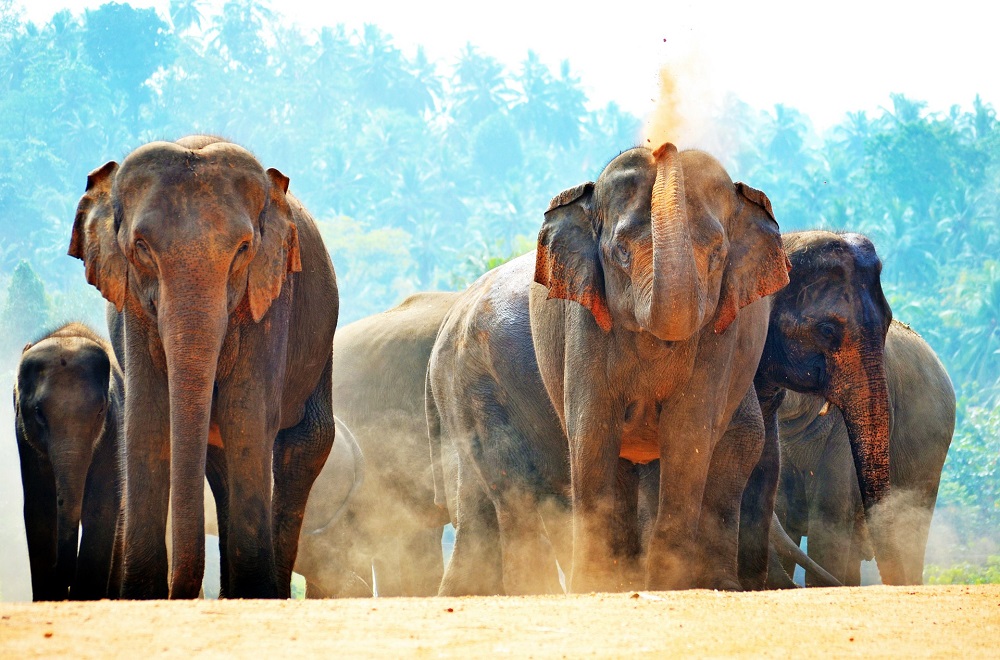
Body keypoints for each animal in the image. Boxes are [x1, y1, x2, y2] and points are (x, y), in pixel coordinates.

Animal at [12, 322, 124, 600]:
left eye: (101, 410)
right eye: (38, 413)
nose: (66, 581)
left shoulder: (113, 430)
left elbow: (102, 507)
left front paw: (86, 596)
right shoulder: (24, 440)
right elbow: (39, 509)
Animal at [68, 134, 340, 600]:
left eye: (244, 249)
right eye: (141, 247)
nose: (180, 594)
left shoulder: (270, 300)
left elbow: (246, 417)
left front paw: (256, 592)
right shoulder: (133, 309)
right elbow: (148, 419)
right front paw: (141, 595)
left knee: (304, 443)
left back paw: (268, 592)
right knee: (220, 458)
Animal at [426, 142, 792, 596]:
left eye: (718, 256)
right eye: (620, 252)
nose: (662, 146)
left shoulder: (723, 331)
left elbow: (689, 432)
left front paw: (669, 584)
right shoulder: (583, 320)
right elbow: (593, 429)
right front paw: (594, 583)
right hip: (476, 381)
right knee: (509, 478)